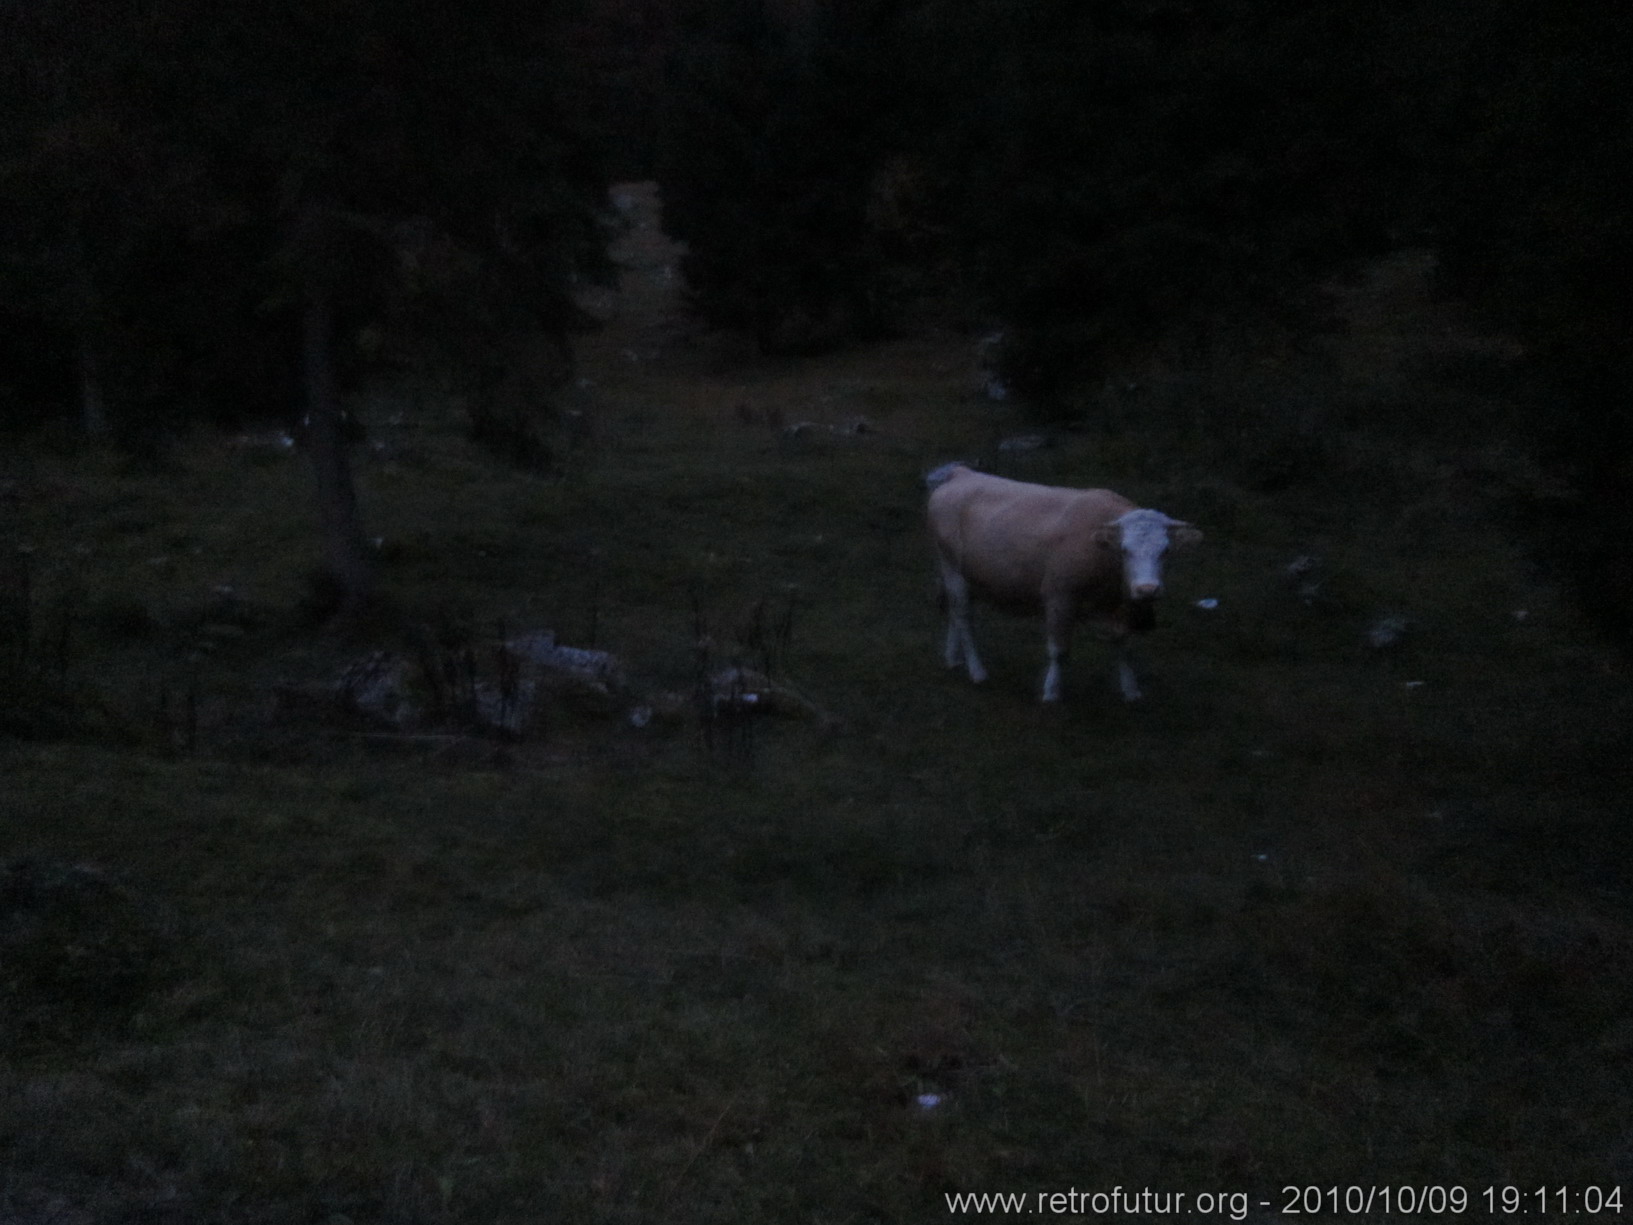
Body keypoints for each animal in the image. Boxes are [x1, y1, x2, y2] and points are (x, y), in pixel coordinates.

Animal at [934, 463, 1201, 705]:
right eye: (1125, 550)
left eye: (1166, 550)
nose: (1147, 589)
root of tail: (961, 473)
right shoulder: (1059, 597)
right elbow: (1059, 650)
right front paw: (1051, 692)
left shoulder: (1117, 607)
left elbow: (1123, 645)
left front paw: (1131, 689)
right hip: (952, 569)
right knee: (964, 617)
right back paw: (977, 671)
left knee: (954, 613)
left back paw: (952, 658)